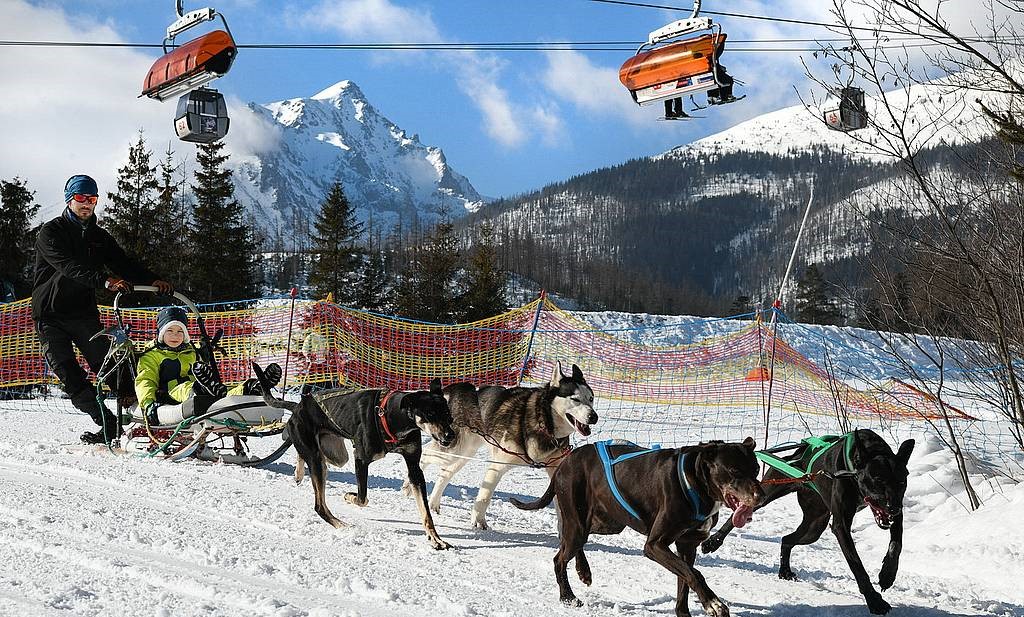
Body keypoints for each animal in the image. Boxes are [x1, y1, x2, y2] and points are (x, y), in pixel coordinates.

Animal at [251, 362, 456, 548]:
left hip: (336, 456)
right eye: (430, 414)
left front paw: (435, 539)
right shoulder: (361, 459)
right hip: (317, 459)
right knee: (319, 505)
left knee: (305, 455)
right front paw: (349, 496)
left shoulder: (414, 468)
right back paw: (341, 524)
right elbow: (362, 498)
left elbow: (426, 512)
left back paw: (298, 472)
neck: (389, 415)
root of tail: (298, 406)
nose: (451, 435)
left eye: (448, 415)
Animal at [512, 439, 761, 617]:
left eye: (757, 469)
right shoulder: (655, 545)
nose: (760, 496)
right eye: (734, 470)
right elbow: (695, 574)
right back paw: (568, 597)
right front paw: (714, 604)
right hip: (579, 521)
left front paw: (684, 612)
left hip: (606, 523)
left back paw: (584, 571)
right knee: (560, 557)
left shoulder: (687, 546)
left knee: (569, 542)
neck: (695, 481)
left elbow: (685, 579)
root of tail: (566, 461)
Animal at [704, 429, 913, 617]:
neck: (852, 470)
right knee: (736, 518)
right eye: (877, 479)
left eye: (902, 482)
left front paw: (887, 574)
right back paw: (713, 542)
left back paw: (785, 570)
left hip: (814, 527)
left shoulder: (897, 515)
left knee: (787, 539)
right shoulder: (841, 526)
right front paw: (874, 601)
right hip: (767, 494)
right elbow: (857, 565)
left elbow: (897, 543)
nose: (893, 507)